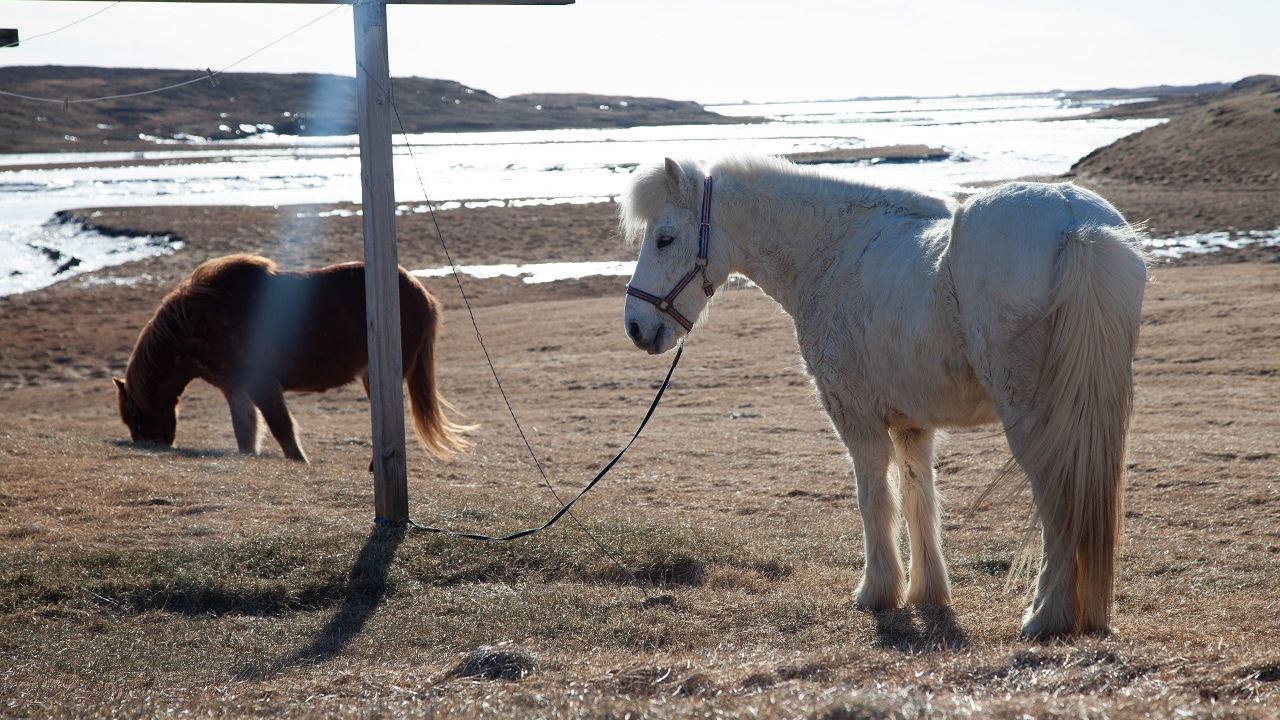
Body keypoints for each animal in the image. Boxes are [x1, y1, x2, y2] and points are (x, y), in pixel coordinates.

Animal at [116, 254, 471, 461]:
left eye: (132, 414)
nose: (151, 444)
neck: (202, 319)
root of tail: (422, 294)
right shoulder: (236, 389)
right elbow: (246, 431)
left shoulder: (262, 385)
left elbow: (282, 429)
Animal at [622, 155, 1152, 632]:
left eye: (665, 238)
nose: (635, 327)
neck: (833, 253)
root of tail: (1075, 224)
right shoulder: (913, 426)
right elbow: (919, 498)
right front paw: (927, 591)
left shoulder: (857, 419)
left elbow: (874, 498)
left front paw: (877, 591)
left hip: (1033, 417)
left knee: (1056, 501)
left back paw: (1046, 615)